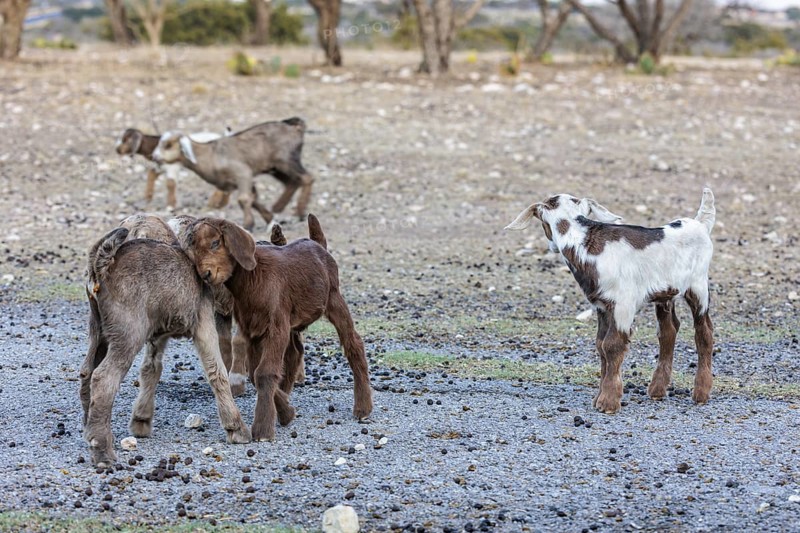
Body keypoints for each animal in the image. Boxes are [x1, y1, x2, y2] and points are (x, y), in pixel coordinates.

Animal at [81, 227, 251, 467]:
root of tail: (100, 266)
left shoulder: (158, 335)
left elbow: (151, 370)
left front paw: (141, 419)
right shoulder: (203, 322)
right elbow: (216, 372)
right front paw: (235, 427)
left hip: (98, 331)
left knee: (87, 371)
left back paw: (91, 428)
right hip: (128, 334)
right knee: (103, 378)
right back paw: (102, 448)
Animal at [152, 118, 314, 231]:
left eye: (168, 145)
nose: (154, 157)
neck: (211, 155)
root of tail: (295, 126)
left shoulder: (243, 173)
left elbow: (244, 199)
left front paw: (248, 224)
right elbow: (254, 199)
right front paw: (270, 220)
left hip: (287, 160)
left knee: (307, 178)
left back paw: (299, 212)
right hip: (276, 167)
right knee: (292, 182)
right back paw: (278, 207)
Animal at [181, 215, 372, 441]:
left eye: (215, 242)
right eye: (193, 249)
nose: (206, 274)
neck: (253, 278)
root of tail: (317, 244)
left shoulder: (275, 326)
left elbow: (264, 373)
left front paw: (263, 429)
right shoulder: (253, 329)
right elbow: (255, 374)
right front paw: (286, 411)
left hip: (334, 298)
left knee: (353, 343)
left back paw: (363, 408)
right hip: (292, 321)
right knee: (295, 352)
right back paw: (286, 394)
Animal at [506, 189, 716, 414]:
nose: (551, 246)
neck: (586, 244)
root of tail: (700, 223)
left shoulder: (623, 304)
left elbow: (612, 345)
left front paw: (608, 402)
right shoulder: (602, 306)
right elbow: (601, 346)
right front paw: (599, 398)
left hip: (698, 286)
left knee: (703, 332)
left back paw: (701, 393)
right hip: (665, 294)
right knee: (668, 331)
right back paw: (657, 390)